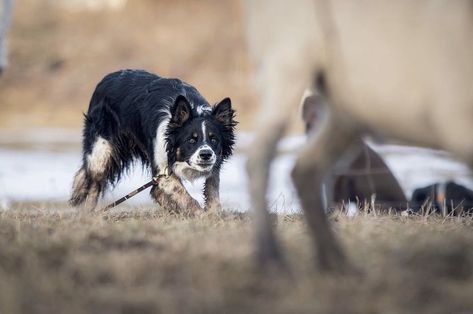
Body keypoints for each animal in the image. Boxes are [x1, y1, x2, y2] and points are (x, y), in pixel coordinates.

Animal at [69, 69, 236, 212]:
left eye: (214, 139)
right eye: (191, 140)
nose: (206, 155)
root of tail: (105, 79)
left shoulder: (215, 161)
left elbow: (212, 188)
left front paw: (212, 213)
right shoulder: (163, 170)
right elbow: (186, 197)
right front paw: (201, 216)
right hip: (100, 151)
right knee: (94, 184)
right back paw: (88, 214)